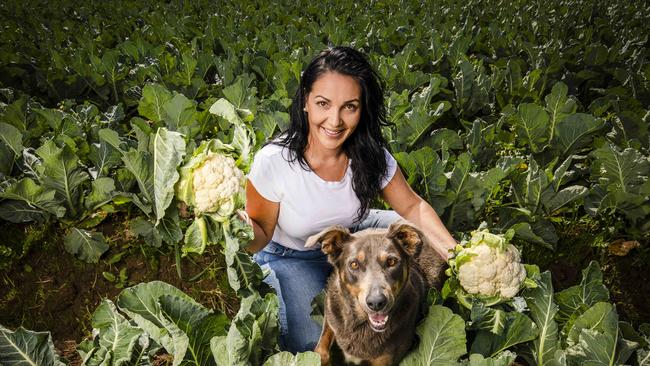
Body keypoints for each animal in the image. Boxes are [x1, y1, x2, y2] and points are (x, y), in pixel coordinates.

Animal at [306, 220, 446, 366]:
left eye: (391, 261)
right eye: (354, 264)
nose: (376, 302)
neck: (361, 324)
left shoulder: (384, 361)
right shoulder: (330, 314)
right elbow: (320, 349)